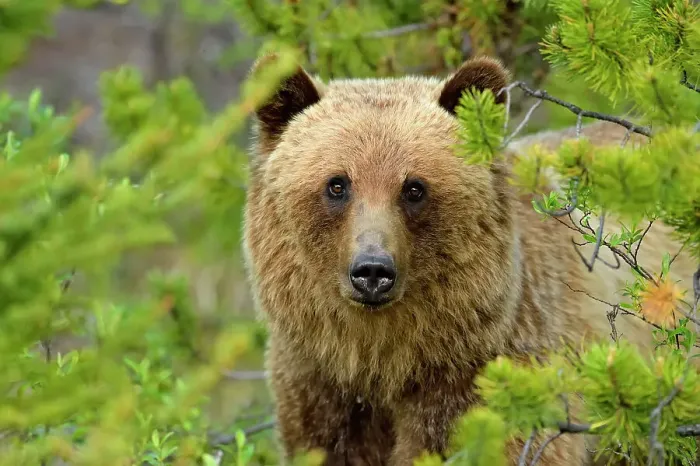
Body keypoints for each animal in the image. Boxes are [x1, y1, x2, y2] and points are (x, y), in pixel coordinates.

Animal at [241, 54, 698, 466]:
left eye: (414, 187)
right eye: (337, 184)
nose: (372, 271)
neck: (383, 359)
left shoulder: (488, 368)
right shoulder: (318, 389)